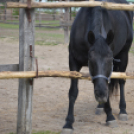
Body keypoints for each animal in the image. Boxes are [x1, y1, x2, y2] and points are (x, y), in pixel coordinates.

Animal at [61, 0, 133, 133]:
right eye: (90, 59)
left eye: (110, 59)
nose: (101, 95)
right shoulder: (73, 62)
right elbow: (73, 91)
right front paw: (68, 123)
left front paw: (110, 117)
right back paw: (100, 106)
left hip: (124, 55)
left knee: (121, 81)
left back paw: (122, 110)